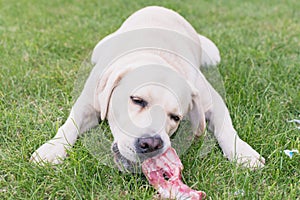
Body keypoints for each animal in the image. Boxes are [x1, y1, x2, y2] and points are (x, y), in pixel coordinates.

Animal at [30, 5, 264, 170]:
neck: (155, 53)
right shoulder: (88, 102)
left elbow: (226, 127)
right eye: (137, 100)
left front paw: (243, 153)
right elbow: (70, 124)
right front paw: (51, 149)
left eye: (176, 117)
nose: (151, 144)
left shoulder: (211, 100)